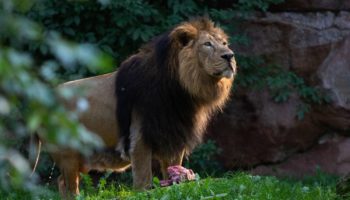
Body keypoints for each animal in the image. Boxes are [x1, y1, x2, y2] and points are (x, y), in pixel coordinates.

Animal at [52, 17, 237, 198]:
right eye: (207, 44)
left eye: (224, 44)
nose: (230, 56)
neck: (181, 89)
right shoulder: (139, 139)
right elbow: (143, 180)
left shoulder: (173, 136)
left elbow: (173, 173)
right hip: (69, 154)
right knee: (69, 186)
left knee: (61, 181)